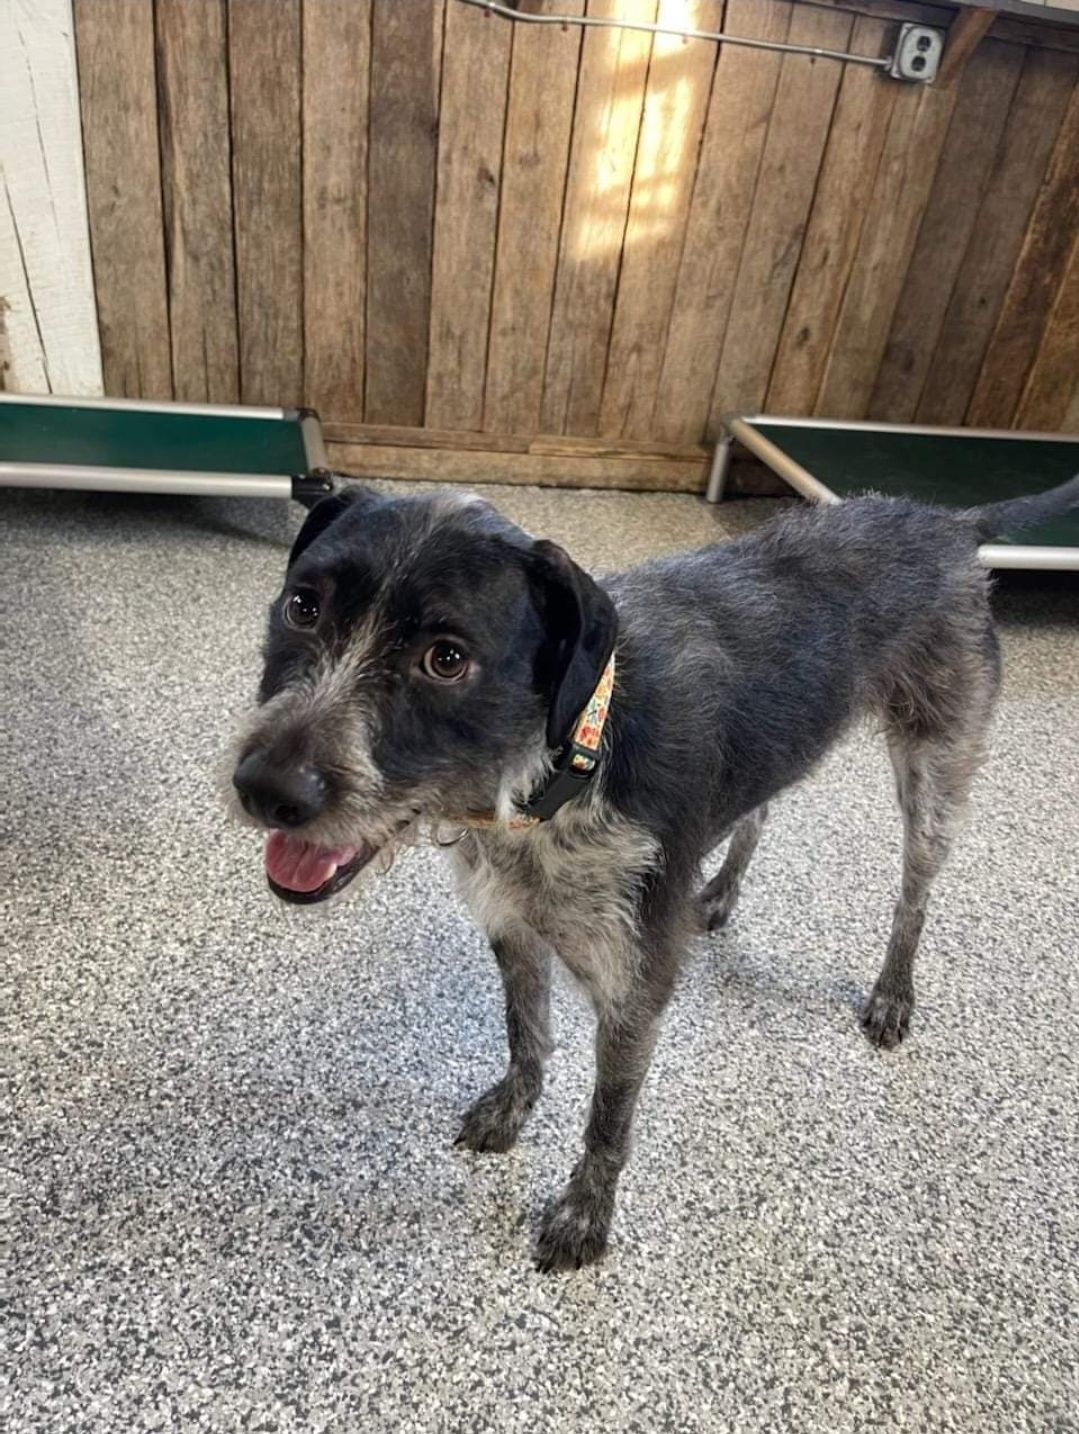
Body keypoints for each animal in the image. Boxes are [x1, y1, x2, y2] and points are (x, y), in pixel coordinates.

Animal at [232, 476, 1073, 1273]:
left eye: (446, 658)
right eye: (303, 606)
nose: (265, 789)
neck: (564, 764)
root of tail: (944, 522)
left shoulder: (632, 989)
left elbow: (608, 1118)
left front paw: (584, 1217)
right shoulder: (511, 923)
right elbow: (525, 1034)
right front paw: (513, 1110)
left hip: (935, 765)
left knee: (914, 890)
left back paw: (893, 992)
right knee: (760, 811)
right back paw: (720, 892)